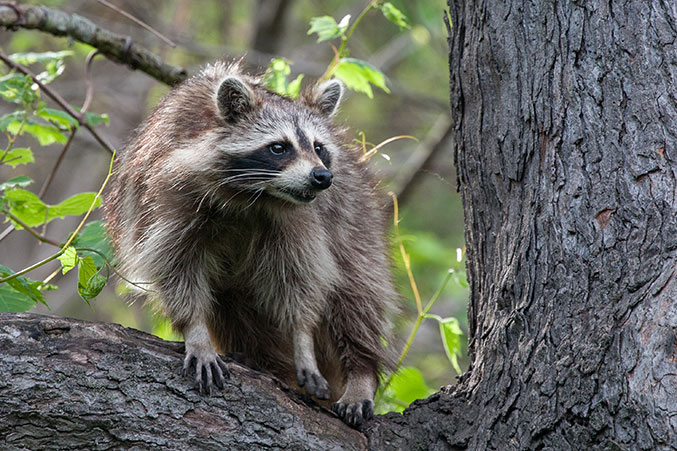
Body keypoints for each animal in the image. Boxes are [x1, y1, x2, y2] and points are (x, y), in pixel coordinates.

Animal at [105, 62, 396, 428]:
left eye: (319, 148)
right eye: (279, 147)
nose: (322, 177)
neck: (253, 195)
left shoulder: (301, 222)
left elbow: (301, 278)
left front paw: (302, 335)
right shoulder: (164, 196)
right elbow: (175, 265)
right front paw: (195, 330)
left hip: (356, 218)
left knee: (357, 295)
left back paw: (360, 370)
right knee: (233, 308)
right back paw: (262, 359)